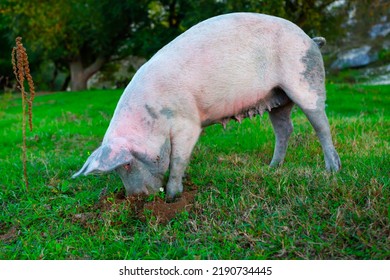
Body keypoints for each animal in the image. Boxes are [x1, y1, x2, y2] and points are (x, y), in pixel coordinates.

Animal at [73, 12, 342, 199]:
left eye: (127, 164)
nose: (135, 198)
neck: (153, 118)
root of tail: (311, 40)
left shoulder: (188, 123)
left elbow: (178, 159)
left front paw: (172, 196)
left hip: (306, 83)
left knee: (321, 125)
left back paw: (332, 170)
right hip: (278, 99)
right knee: (285, 129)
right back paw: (272, 167)